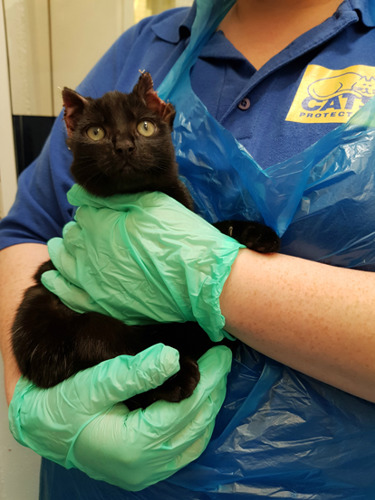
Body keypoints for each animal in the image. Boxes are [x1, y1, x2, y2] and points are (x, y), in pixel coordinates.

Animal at [11, 73, 280, 410]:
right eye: (96, 132)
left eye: (145, 126)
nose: (125, 146)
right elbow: (102, 343)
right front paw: (167, 373)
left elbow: (215, 228)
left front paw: (256, 233)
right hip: (40, 307)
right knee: (100, 340)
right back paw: (172, 375)